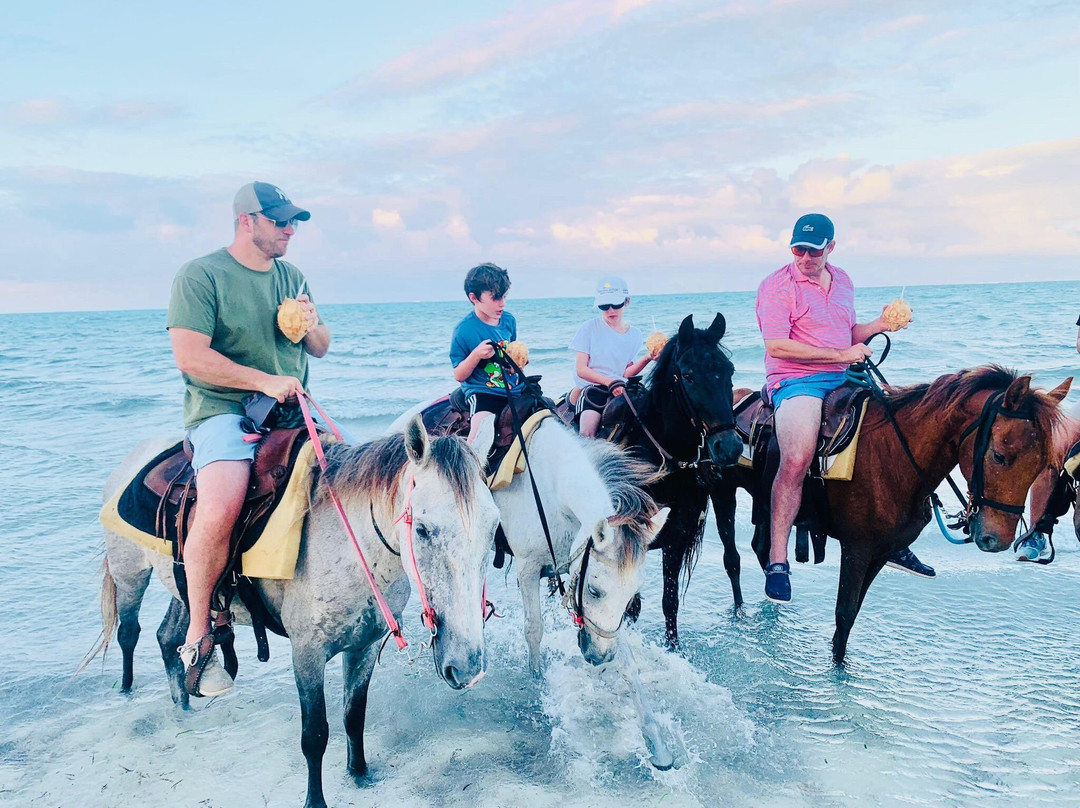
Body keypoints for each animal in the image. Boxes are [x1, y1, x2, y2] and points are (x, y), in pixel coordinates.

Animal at [89, 416, 500, 808]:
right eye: (424, 530)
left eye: (494, 526)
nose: (467, 667)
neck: (351, 548)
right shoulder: (307, 654)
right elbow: (315, 734)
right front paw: (315, 800)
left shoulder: (363, 647)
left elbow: (354, 716)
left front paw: (359, 775)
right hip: (130, 575)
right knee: (129, 632)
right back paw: (126, 691)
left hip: (186, 590)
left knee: (169, 637)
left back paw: (184, 707)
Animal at [605, 313, 742, 649]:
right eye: (689, 376)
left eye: (728, 371)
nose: (729, 447)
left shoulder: (678, 532)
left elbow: (670, 600)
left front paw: (674, 647)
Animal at [709, 366, 1070, 664]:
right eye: (998, 456)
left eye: (1044, 464)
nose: (997, 539)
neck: (893, 454)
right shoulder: (856, 548)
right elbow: (844, 613)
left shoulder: (881, 552)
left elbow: (851, 616)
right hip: (722, 492)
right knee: (732, 559)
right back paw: (741, 612)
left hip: (762, 502)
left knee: (761, 546)